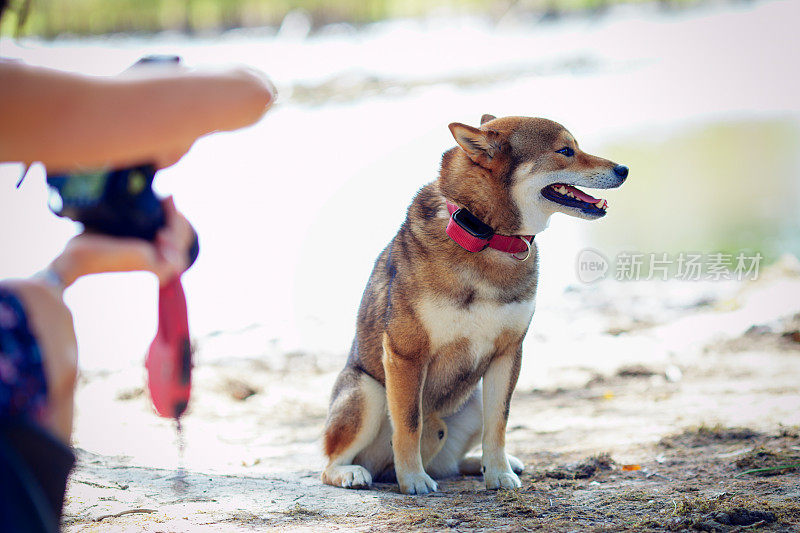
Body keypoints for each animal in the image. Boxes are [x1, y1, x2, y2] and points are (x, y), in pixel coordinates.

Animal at [322, 114, 628, 492]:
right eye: (565, 151)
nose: (624, 169)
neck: (488, 236)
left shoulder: (507, 353)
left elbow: (499, 423)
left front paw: (498, 473)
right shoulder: (406, 353)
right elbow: (409, 424)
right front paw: (413, 480)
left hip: (474, 397)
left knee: (448, 463)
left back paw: (479, 465)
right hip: (367, 392)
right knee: (332, 462)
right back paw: (352, 472)